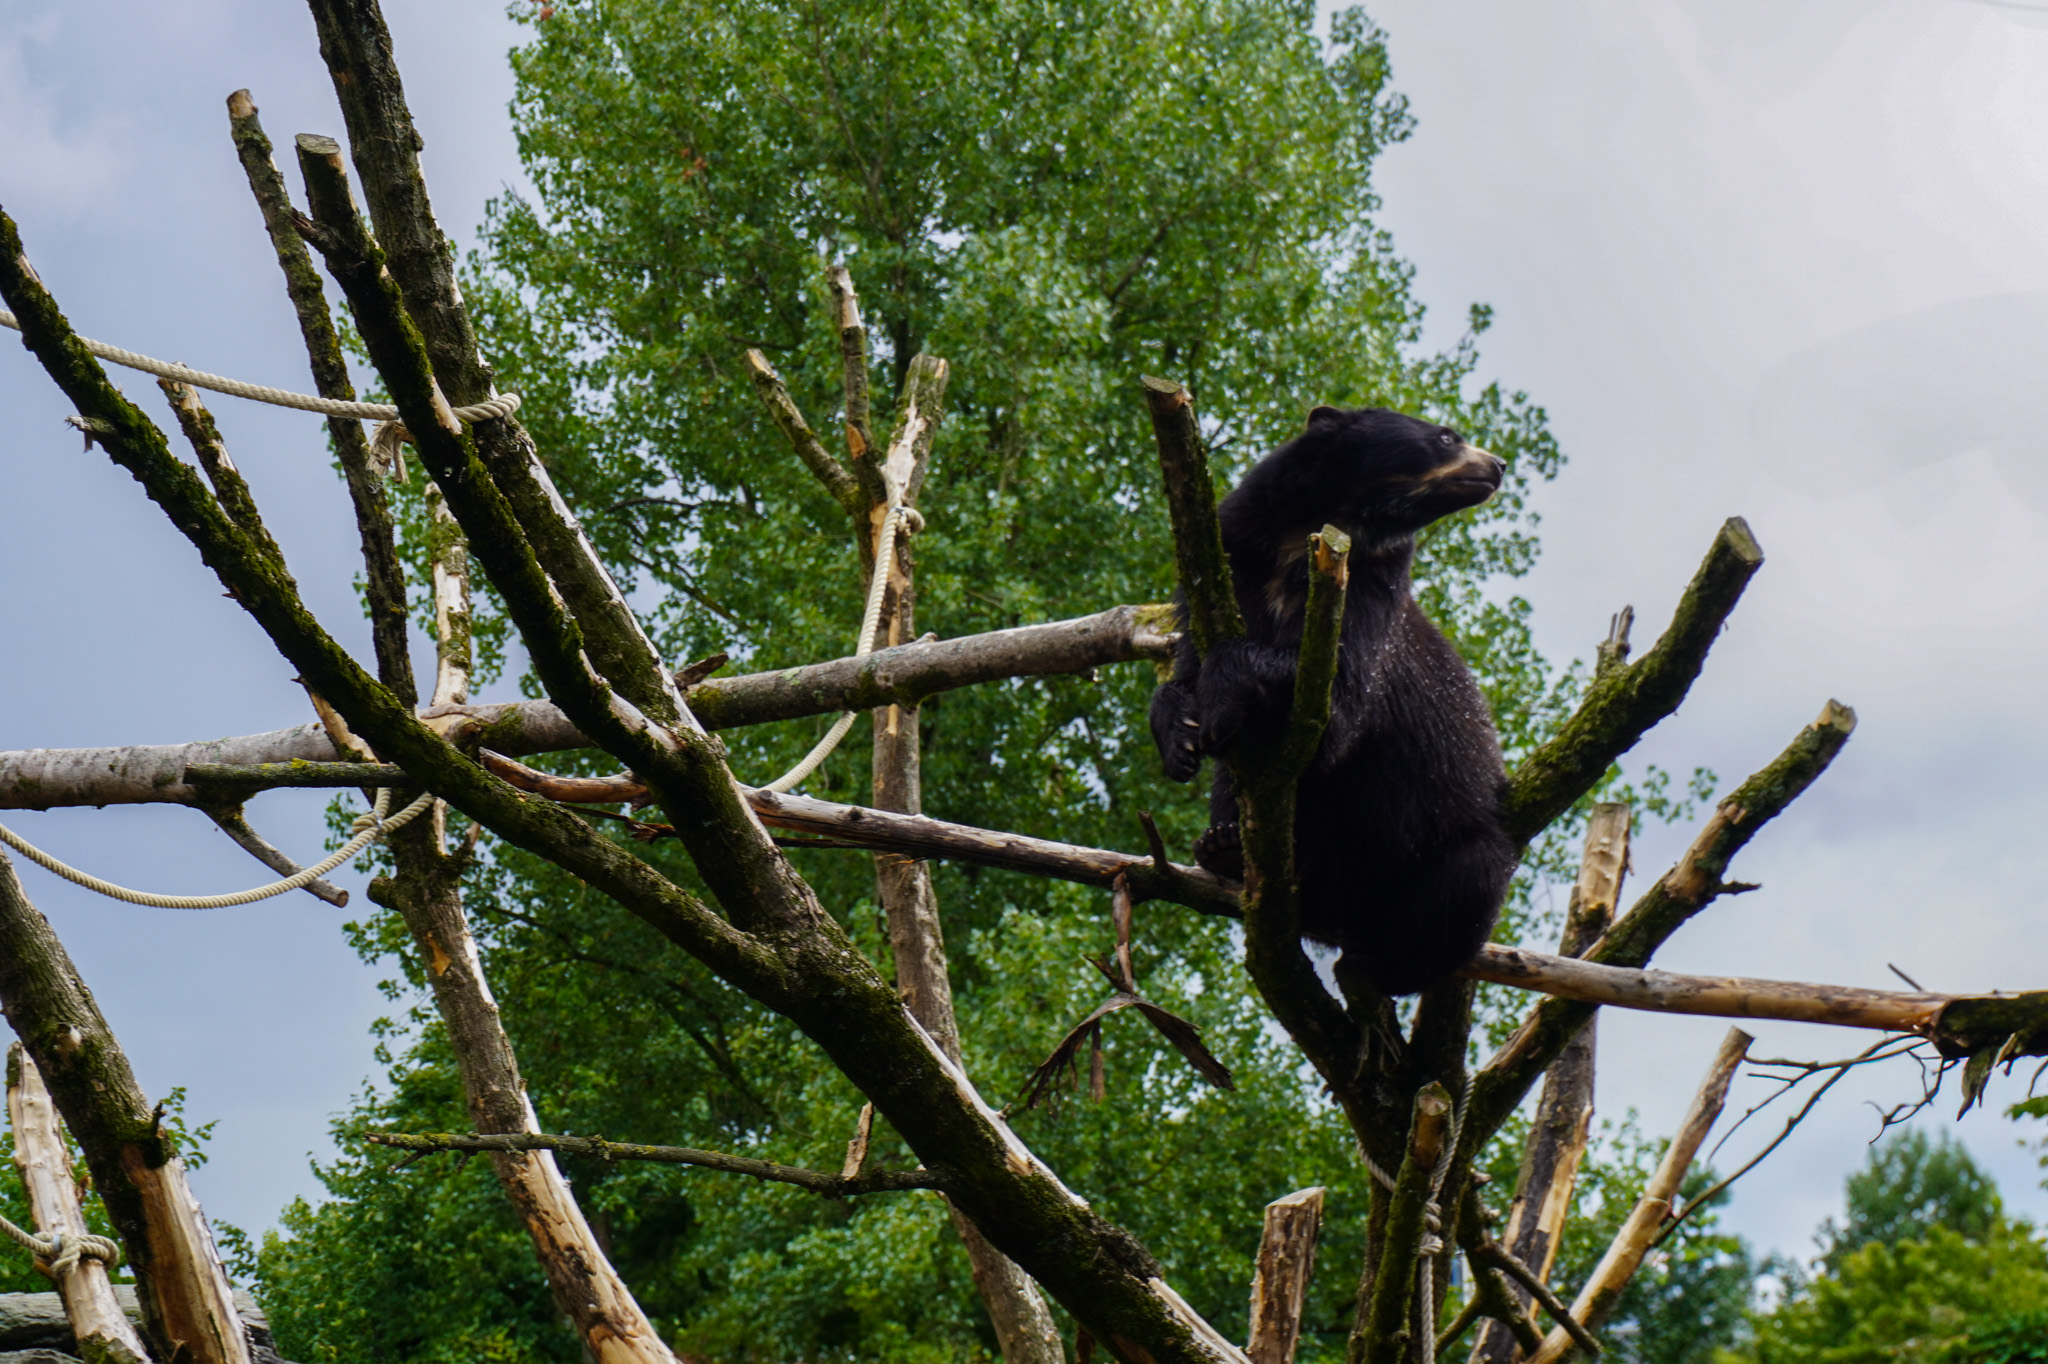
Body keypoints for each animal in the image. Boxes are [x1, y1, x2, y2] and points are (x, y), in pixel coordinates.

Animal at [1148, 406, 1518, 997]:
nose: (1499, 464)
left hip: (1444, 848)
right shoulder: (1234, 557)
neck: (1314, 530)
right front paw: (1179, 738)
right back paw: (1224, 849)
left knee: (1469, 880)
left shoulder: (1367, 589)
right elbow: (1187, 660)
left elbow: (1337, 701)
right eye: (1445, 437)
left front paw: (1221, 700)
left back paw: (1384, 963)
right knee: (1234, 786)